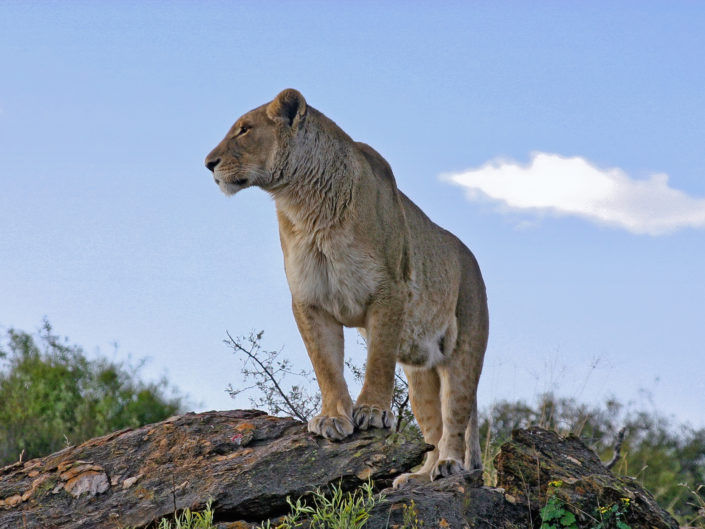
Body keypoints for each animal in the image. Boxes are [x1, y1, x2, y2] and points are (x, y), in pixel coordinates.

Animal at [205, 89, 489, 486]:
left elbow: (379, 359)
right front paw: (333, 418)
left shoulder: (390, 289)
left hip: (463, 351)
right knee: (432, 426)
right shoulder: (309, 300)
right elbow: (325, 364)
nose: (208, 163)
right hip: (420, 373)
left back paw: (448, 466)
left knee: (455, 419)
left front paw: (371, 411)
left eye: (244, 129)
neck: (307, 206)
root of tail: (472, 258)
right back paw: (418, 476)